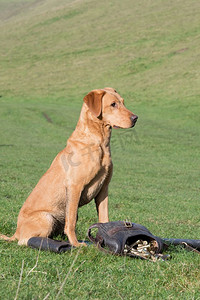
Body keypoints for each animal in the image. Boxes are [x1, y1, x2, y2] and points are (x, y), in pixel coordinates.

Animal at [0, 88, 138, 247]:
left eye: (123, 102)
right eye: (113, 104)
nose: (135, 118)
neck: (100, 143)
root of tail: (16, 232)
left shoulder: (103, 189)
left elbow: (104, 219)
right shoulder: (75, 186)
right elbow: (71, 222)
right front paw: (76, 244)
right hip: (47, 218)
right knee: (25, 240)